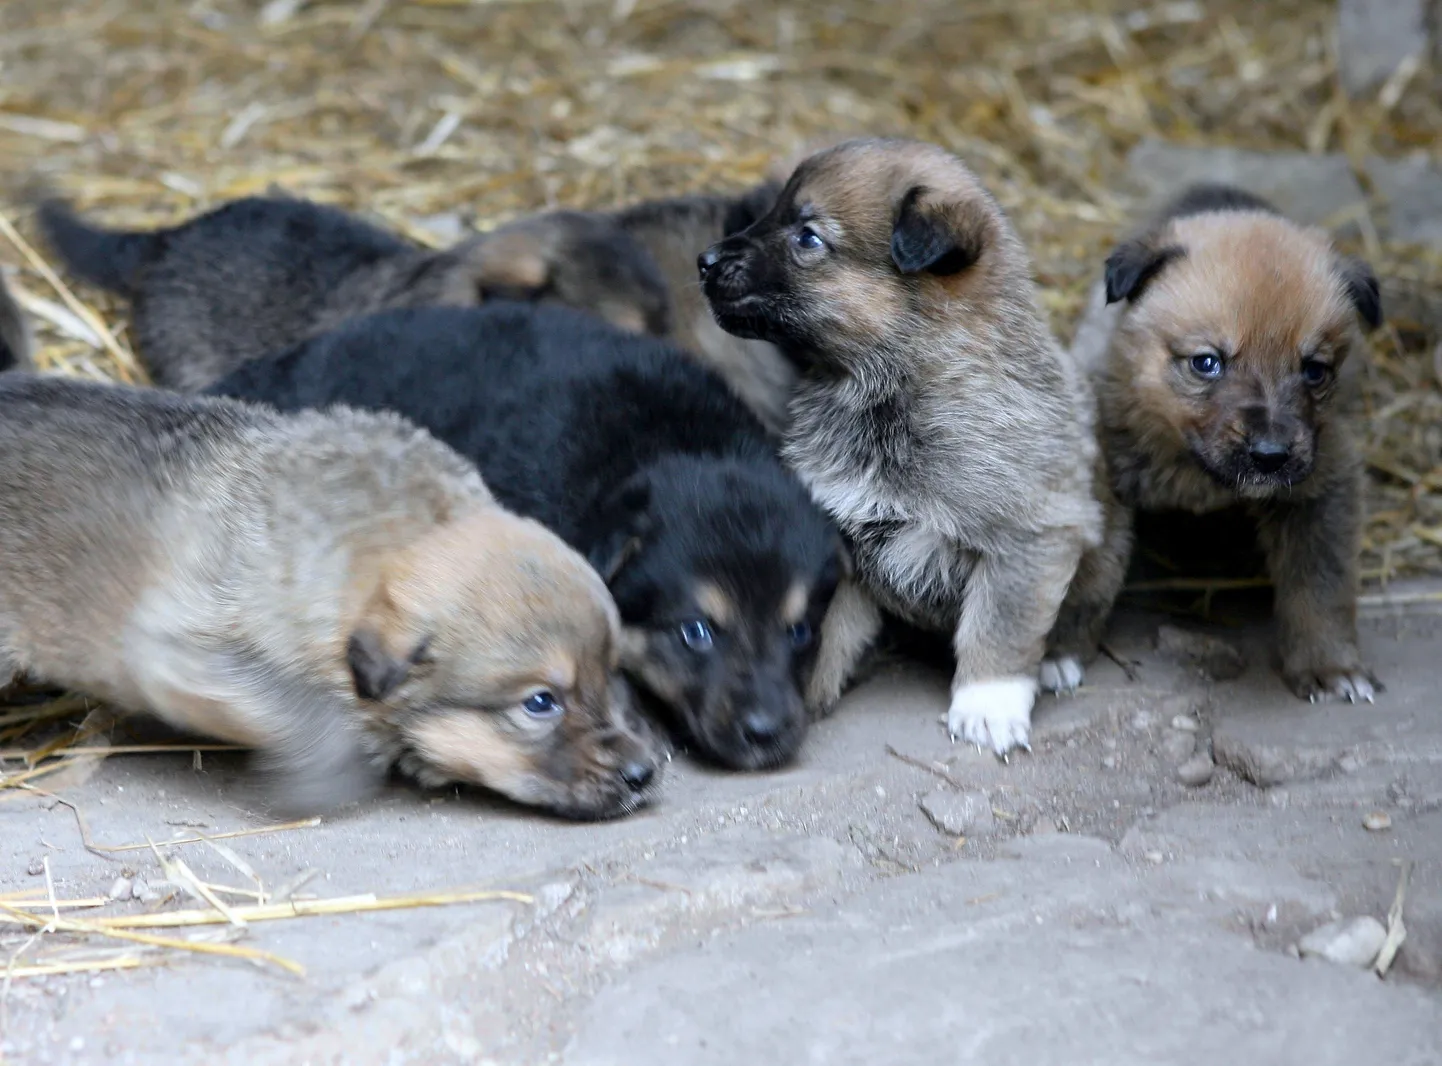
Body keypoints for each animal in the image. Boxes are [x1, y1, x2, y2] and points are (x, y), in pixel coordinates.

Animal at [697, 137, 1101, 761]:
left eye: (808, 237)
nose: (706, 260)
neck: (886, 389)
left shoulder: (1028, 534)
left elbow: (1001, 625)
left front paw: (988, 706)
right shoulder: (835, 534)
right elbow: (824, 630)